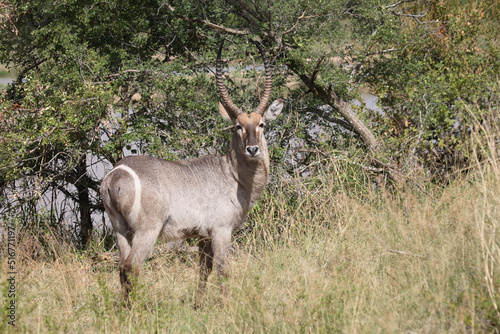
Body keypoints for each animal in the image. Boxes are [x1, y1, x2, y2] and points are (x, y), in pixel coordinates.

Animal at [99, 40, 284, 304]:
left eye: (262, 124)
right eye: (237, 126)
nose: (252, 149)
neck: (233, 176)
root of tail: (117, 174)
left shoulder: (202, 236)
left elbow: (204, 269)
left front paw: (198, 304)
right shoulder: (221, 230)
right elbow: (223, 269)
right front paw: (226, 304)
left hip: (119, 229)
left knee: (121, 267)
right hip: (147, 230)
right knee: (131, 267)